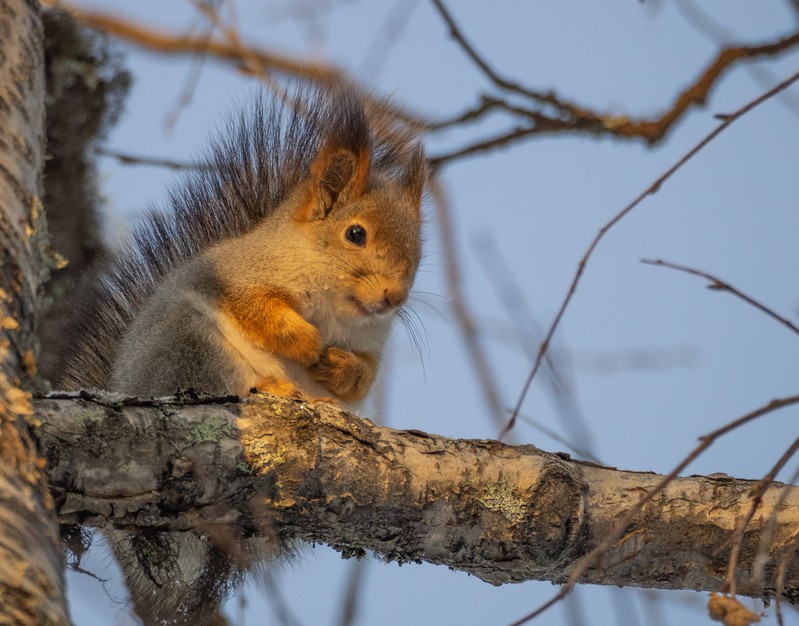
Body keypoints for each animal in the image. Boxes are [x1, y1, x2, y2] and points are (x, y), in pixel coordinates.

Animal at [44, 88, 428, 624]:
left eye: (418, 247)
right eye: (356, 233)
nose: (394, 297)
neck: (336, 308)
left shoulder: (373, 344)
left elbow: (363, 376)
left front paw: (335, 366)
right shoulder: (238, 279)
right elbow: (261, 312)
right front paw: (307, 343)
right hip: (192, 349)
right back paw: (274, 386)